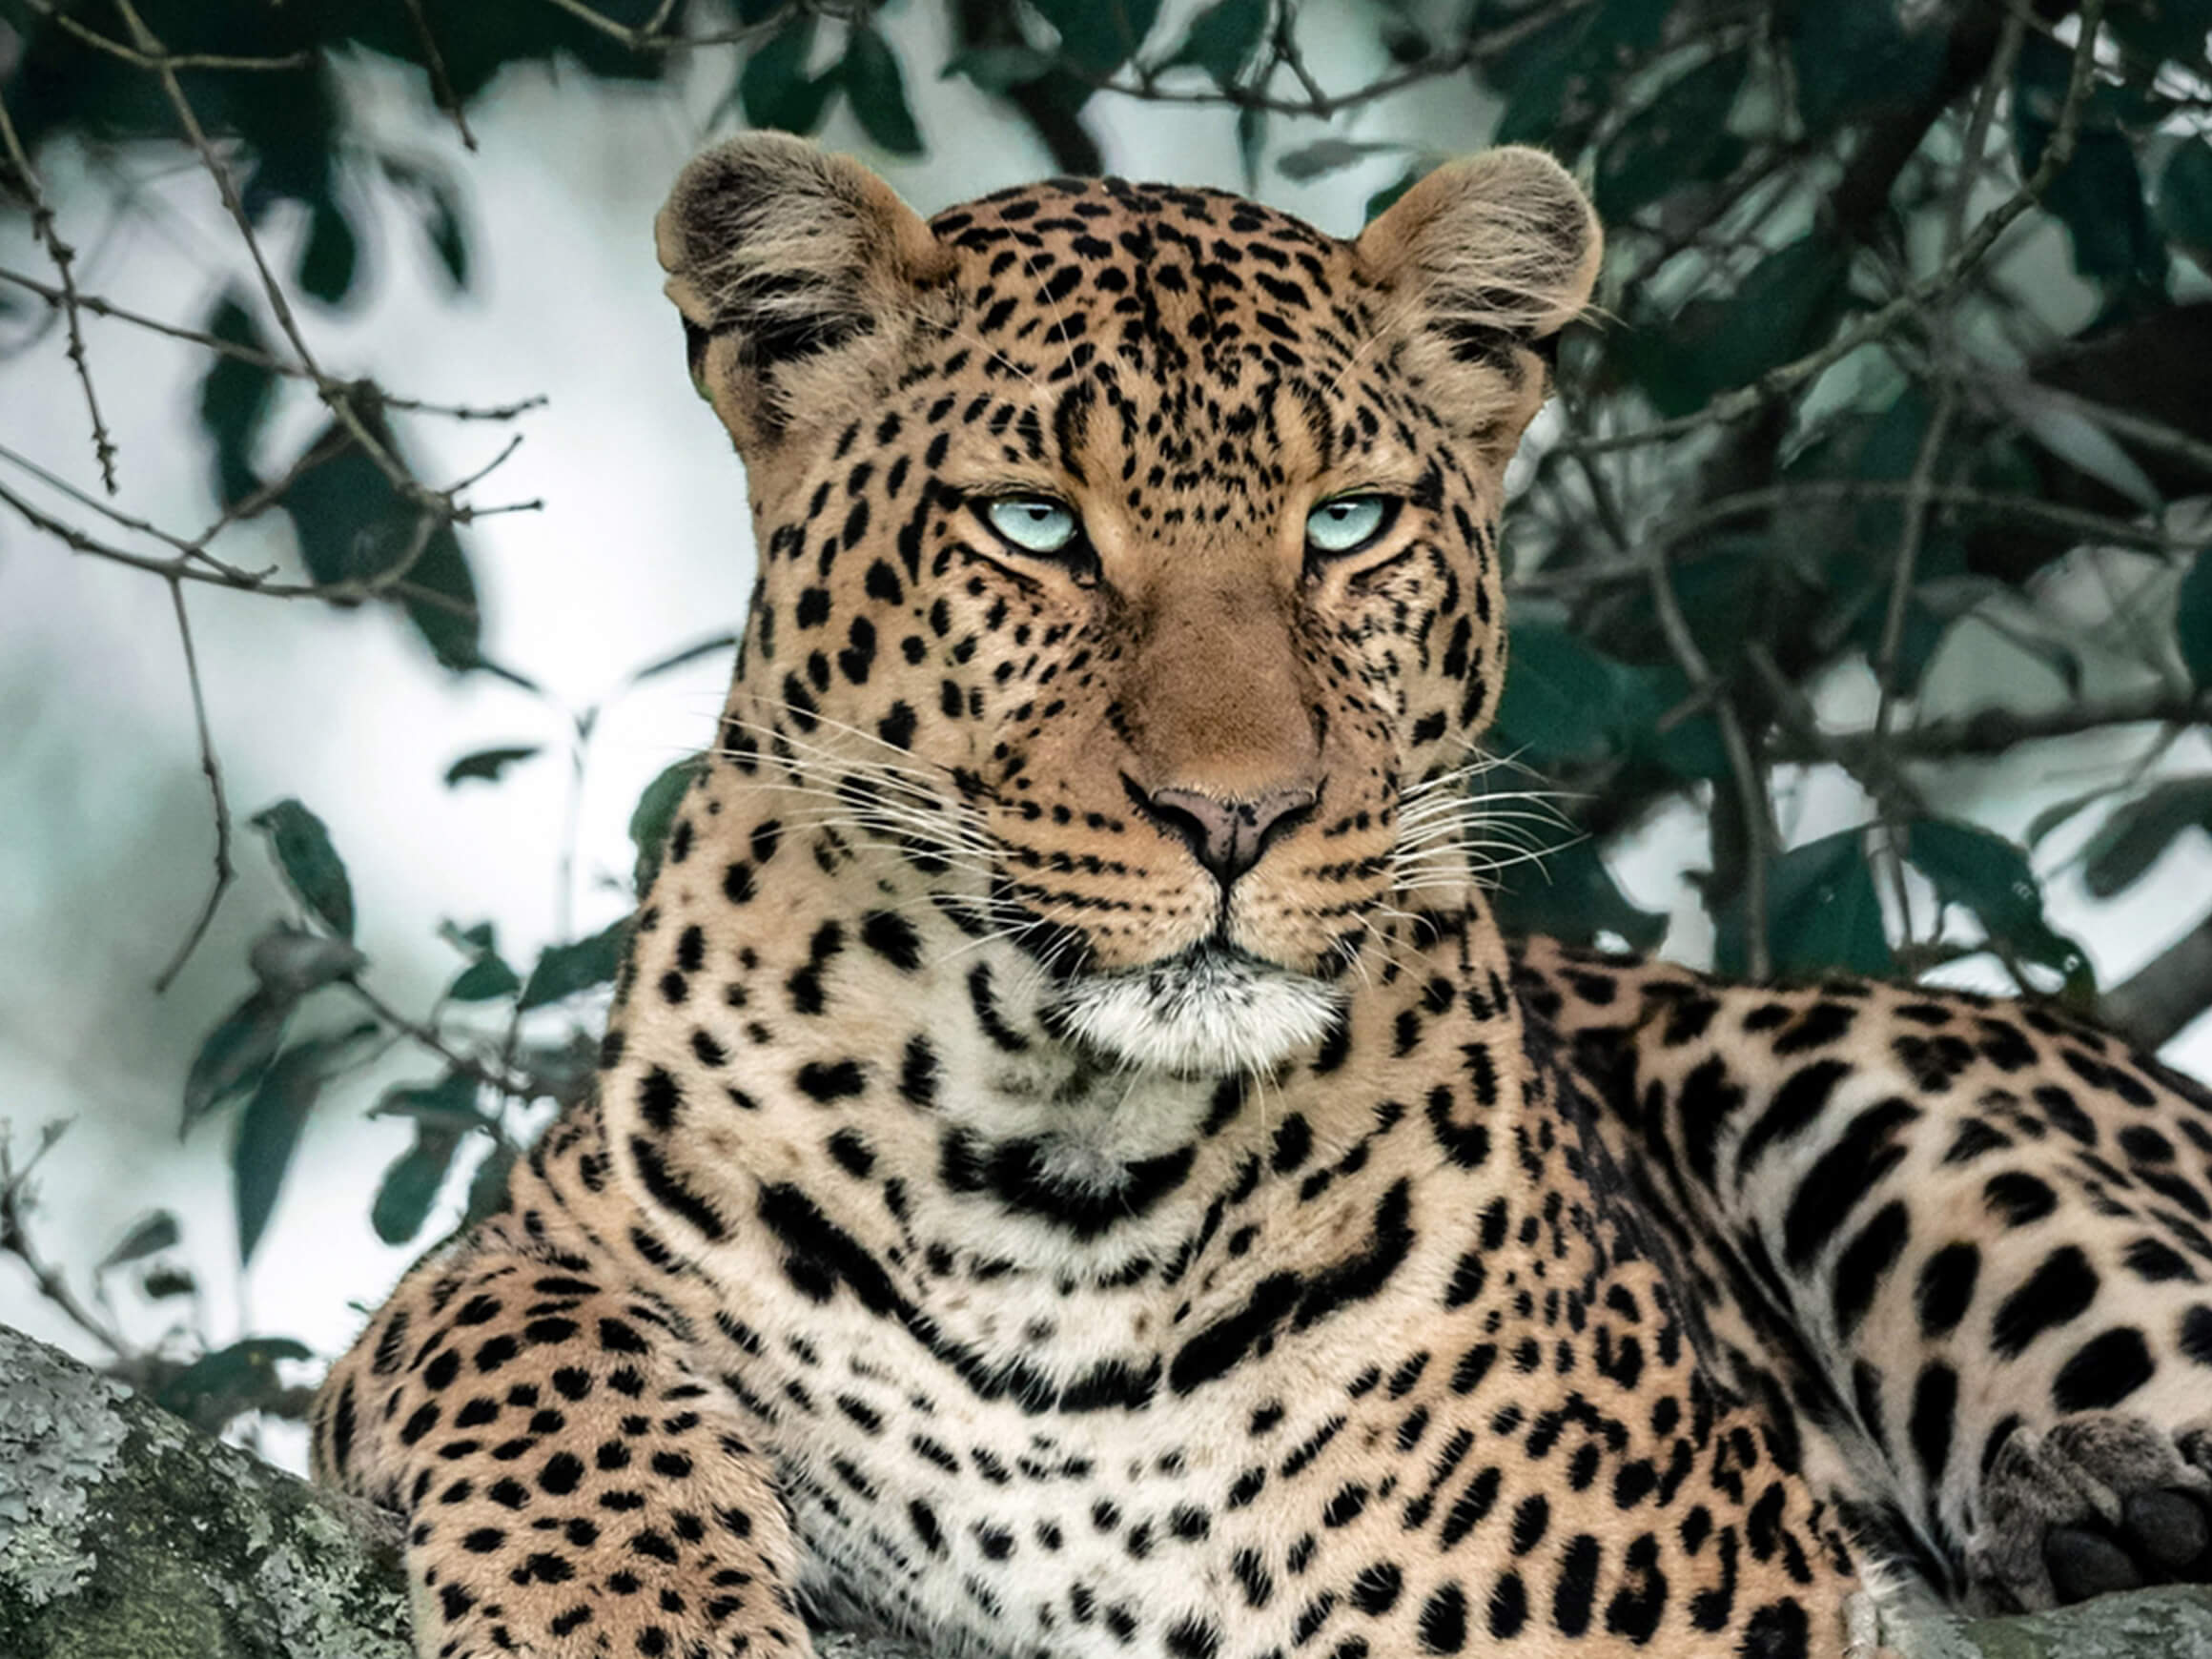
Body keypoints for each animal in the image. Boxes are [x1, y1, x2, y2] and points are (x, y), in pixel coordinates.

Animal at [310, 134, 2212, 1659]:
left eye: (1349, 525)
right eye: (1034, 525)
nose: (1238, 814)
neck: (1058, 1169)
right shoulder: (502, 1265)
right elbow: (541, 1347)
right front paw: (629, 1617)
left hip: (1846, 1083)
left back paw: (2090, 1498)